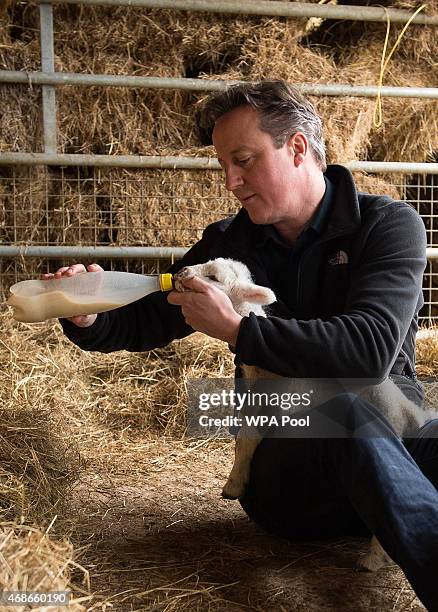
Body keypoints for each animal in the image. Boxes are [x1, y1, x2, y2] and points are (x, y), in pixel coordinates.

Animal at [174, 260, 434, 572]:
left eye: (213, 277)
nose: (180, 273)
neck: (264, 370)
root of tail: (407, 411)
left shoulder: (282, 405)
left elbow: (249, 436)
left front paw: (234, 484)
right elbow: (244, 433)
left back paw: (373, 558)